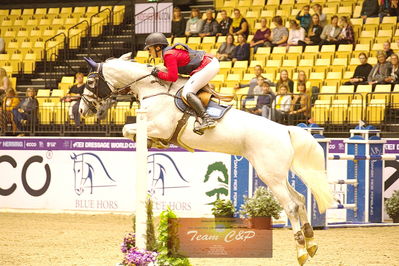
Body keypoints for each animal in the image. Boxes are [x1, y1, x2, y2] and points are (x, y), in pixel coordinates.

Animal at [78, 55, 334, 264]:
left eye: (90, 82)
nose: (82, 110)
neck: (151, 88)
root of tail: (285, 130)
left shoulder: (158, 125)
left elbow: (126, 129)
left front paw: (154, 142)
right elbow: (130, 131)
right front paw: (154, 143)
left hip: (269, 174)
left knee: (291, 205)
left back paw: (301, 251)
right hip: (277, 174)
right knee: (300, 199)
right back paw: (311, 243)